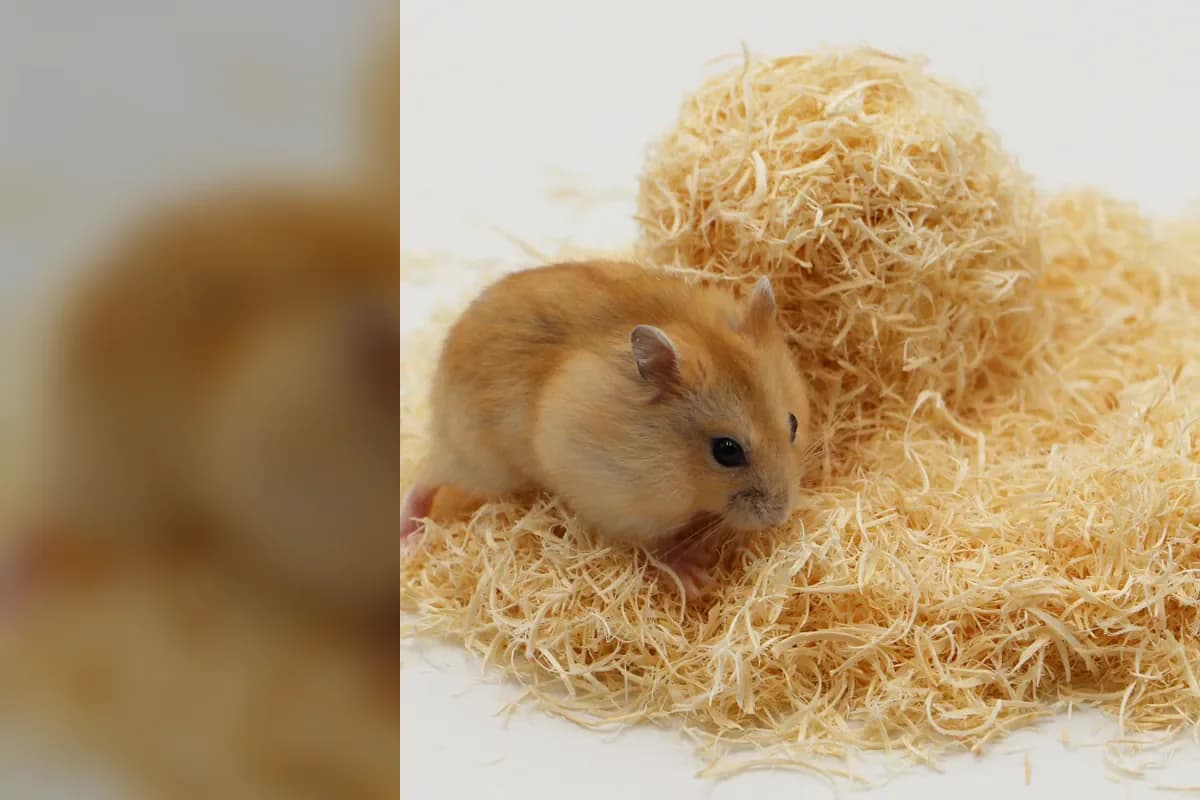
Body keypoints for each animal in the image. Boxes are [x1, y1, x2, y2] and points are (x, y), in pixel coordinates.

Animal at [401, 260, 812, 595]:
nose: (781, 516)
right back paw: (410, 540)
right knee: (424, 481)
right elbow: (657, 545)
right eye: (726, 451)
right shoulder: (620, 501)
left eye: (793, 424)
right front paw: (696, 578)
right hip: (478, 461)